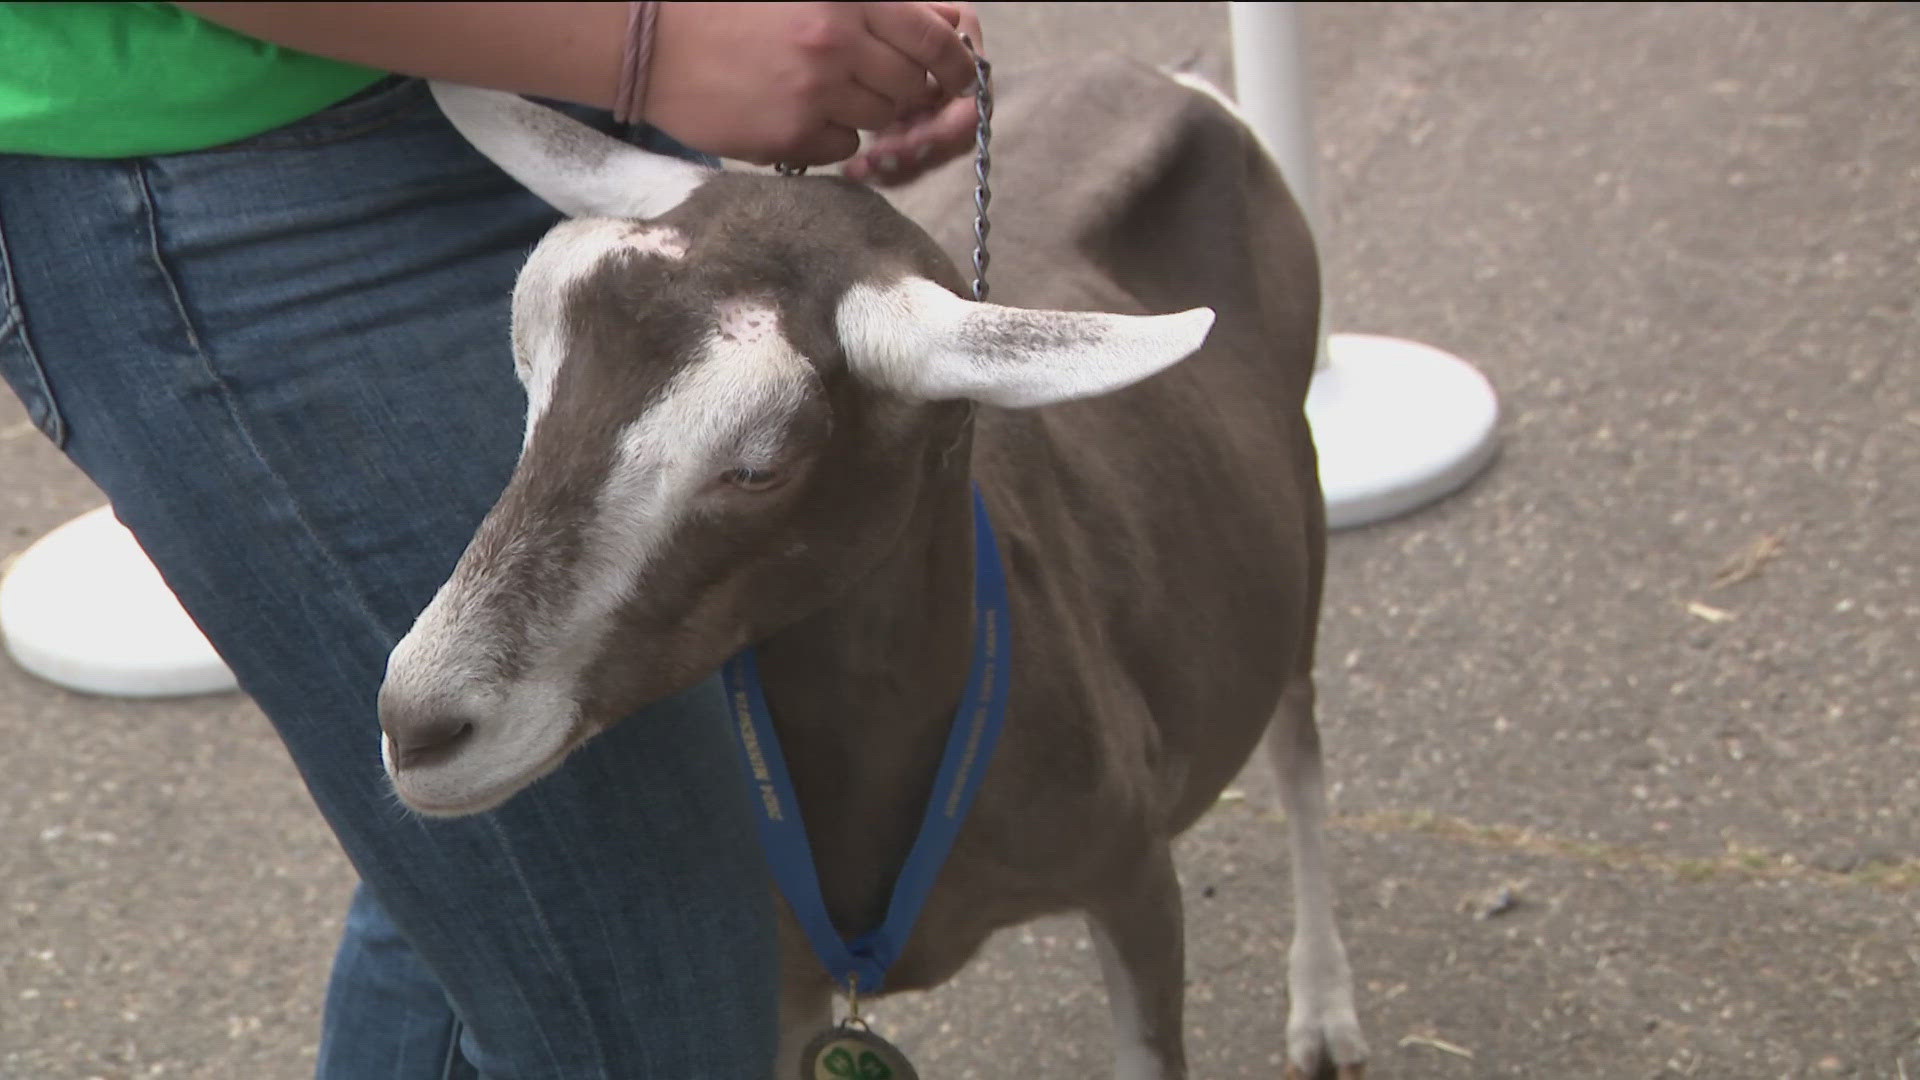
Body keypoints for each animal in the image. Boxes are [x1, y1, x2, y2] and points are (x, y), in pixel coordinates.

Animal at [374, 56, 1367, 1076]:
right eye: (530, 369)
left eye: (759, 467)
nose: (416, 724)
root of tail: (1149, 73)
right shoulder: (782, 983)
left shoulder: (1132, 876)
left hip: (1300, 515)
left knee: (1298, 738)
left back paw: (1325, 1010)